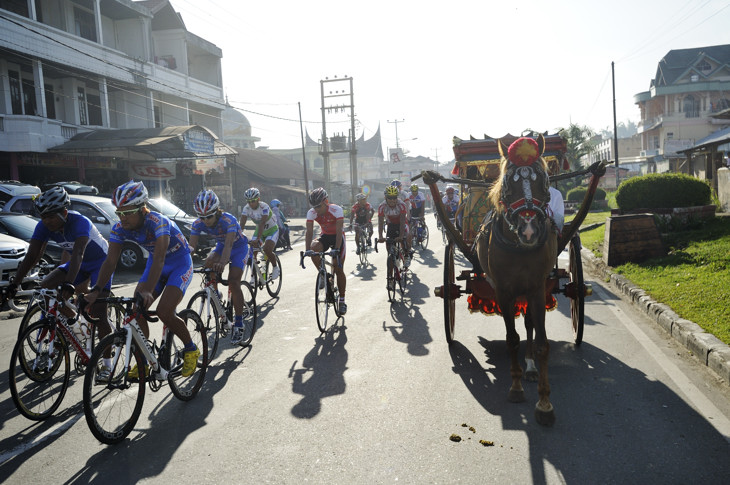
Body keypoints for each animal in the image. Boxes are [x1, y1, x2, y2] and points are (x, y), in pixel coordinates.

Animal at [472, 134, 556, 426]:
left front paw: (544, 403)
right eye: (508, 183)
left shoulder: (537, 289)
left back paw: (530, 367)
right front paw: (516, 388)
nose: (529, 230)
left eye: (545, 180)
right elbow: (511, 338)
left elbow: (541, 343)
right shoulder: (504, 292)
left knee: (529, 324)